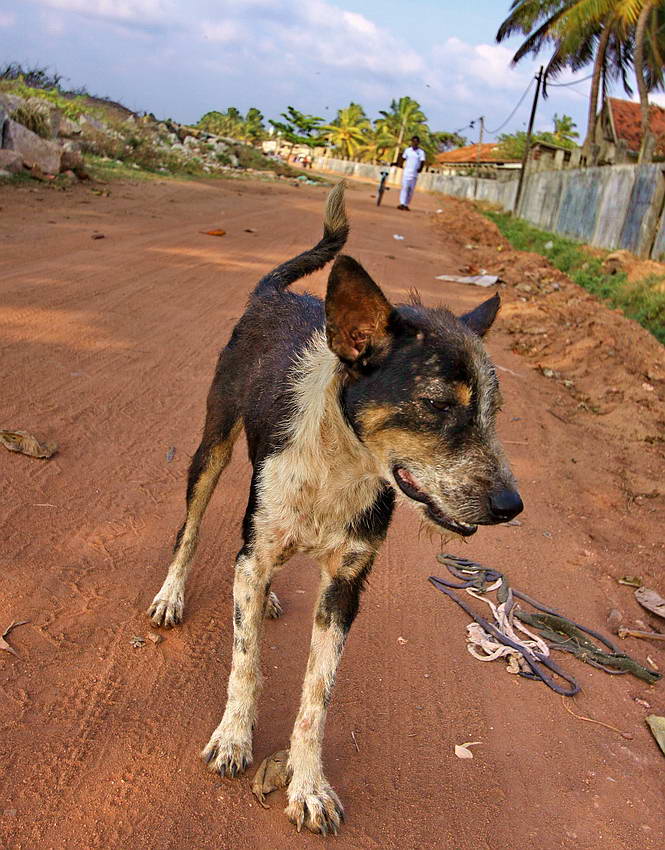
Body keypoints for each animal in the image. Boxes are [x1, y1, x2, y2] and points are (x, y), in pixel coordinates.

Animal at [148, 184, 520, 828]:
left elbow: (317, 696)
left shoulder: (346, 586)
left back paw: (267, 594)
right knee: (194, 532)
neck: (340, 466)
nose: (511, 505)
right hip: (212, 446)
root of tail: (274, 293)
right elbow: (245, 661)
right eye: (438, 405)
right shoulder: (256, 536)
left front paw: (308, 784)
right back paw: (174, 593)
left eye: (492, 413)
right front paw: (234, 737)